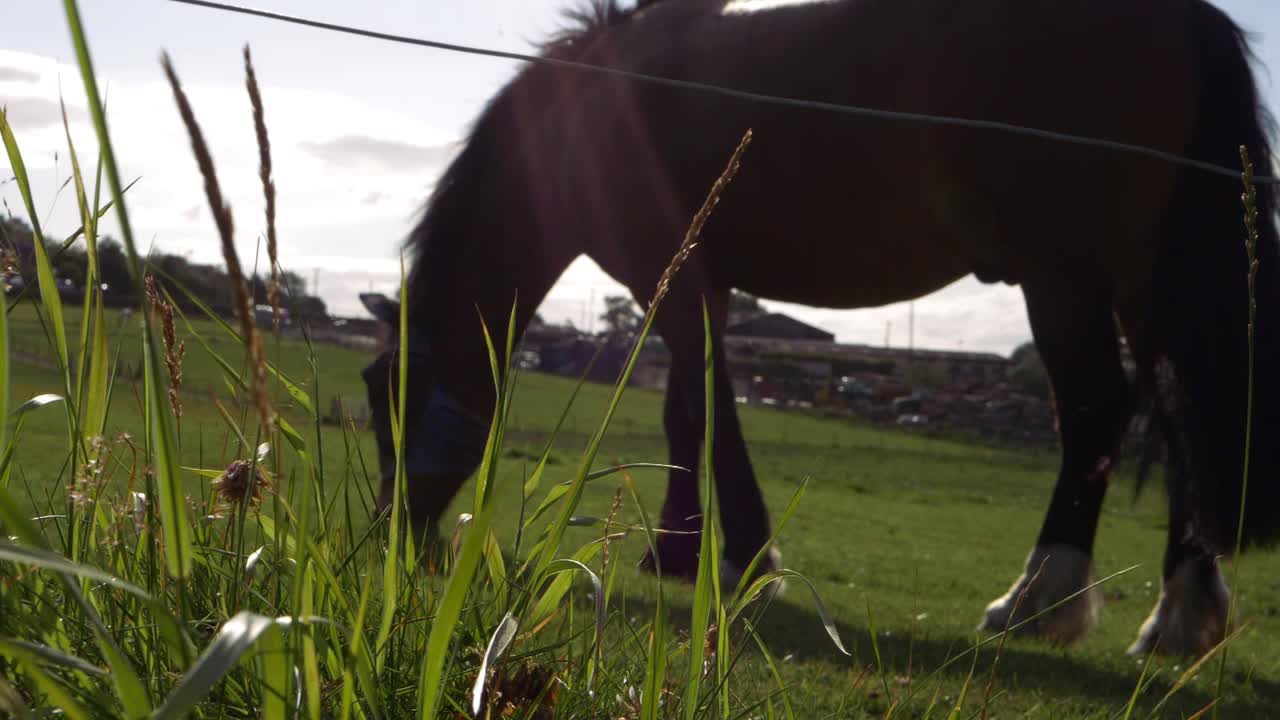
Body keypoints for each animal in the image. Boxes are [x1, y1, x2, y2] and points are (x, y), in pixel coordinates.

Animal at [357, 0, 1280, 657]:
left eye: (383, 392)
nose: (396, 539)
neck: (592, 108)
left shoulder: (678, 283)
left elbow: (703, 410)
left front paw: (736, 559)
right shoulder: (704, 287)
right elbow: (688, 414)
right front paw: (682, 551)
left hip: (1063, 273)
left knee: (1096, 410)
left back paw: (1039, 599)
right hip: (1140, 278)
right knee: (1182, 419)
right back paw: (1180, 615)